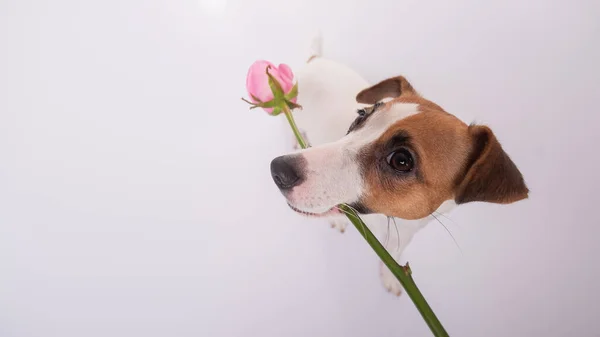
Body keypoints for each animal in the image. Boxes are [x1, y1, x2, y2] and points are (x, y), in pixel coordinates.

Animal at [270, 35, 528, 296]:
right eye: (361, 116)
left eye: (401, 161)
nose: (278, 170)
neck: (384, 216)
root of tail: (315, 60)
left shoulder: (401, 238)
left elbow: (392, 257)